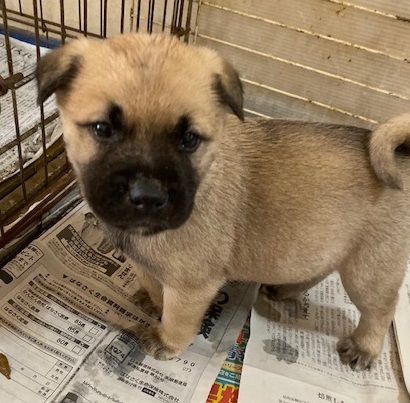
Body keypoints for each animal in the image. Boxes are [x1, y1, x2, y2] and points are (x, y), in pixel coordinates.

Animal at [36, 33, 410, 371]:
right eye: (102, 129)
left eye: (189, 140)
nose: (147, 196)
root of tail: (400, 158)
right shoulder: (143, 262)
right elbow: (152, 285)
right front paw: (151, 301)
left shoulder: (191, 287)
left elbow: (177, 319)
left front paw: (165, 340)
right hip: (325, 246)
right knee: (316, 270)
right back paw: (285, 290)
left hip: (368, 270)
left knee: (381, 309)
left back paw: (364, 347)